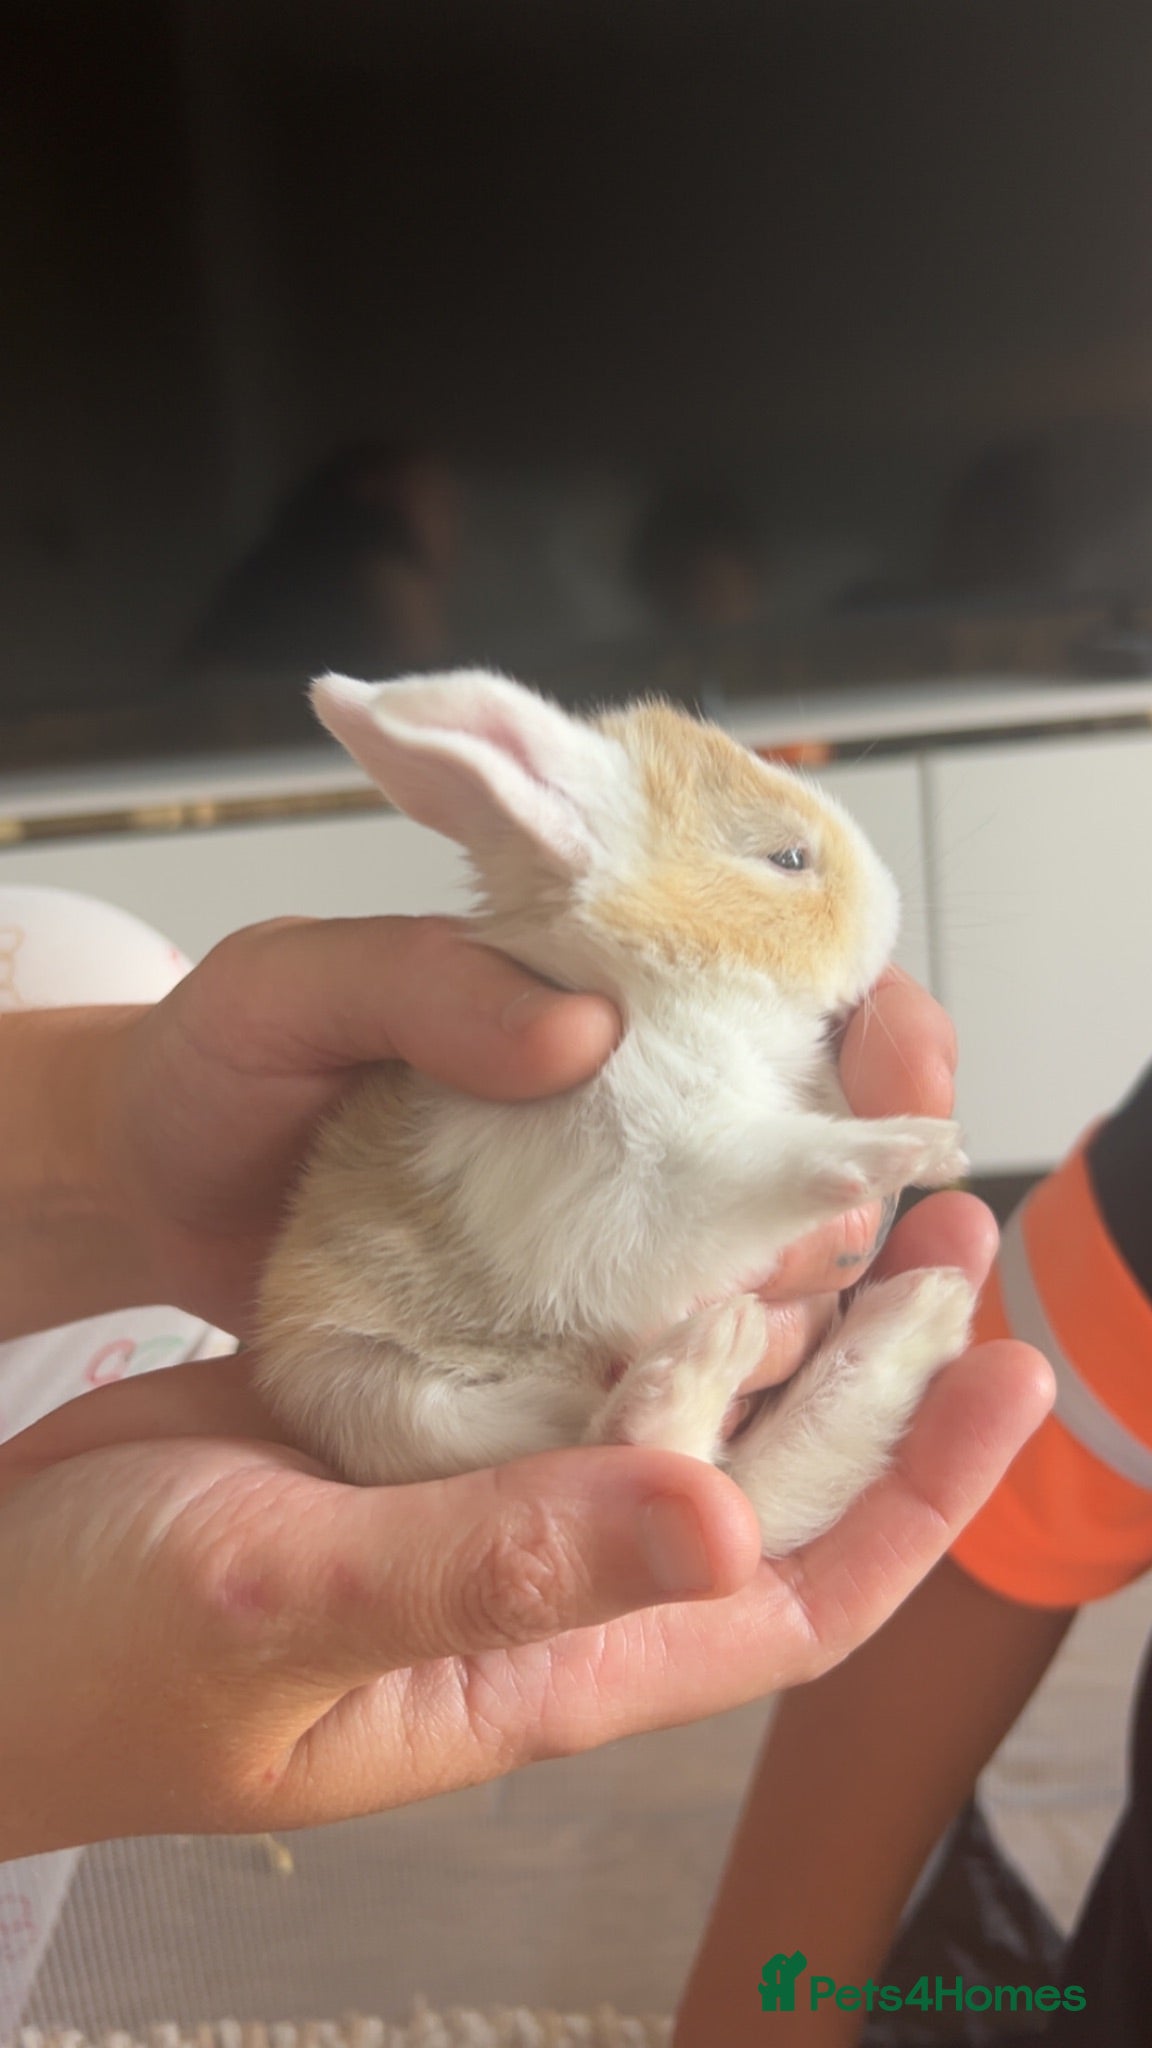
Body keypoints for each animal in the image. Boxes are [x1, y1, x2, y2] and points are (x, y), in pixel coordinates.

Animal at [255, 669, 974, 1556]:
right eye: (787, 857)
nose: (892, 904)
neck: (667, 991)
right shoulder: (623, 1186)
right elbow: (762, 1164)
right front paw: (915, 1148)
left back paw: (923, 1310)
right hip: (390, 1406)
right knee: (629, 1452)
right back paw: (699, 1366)